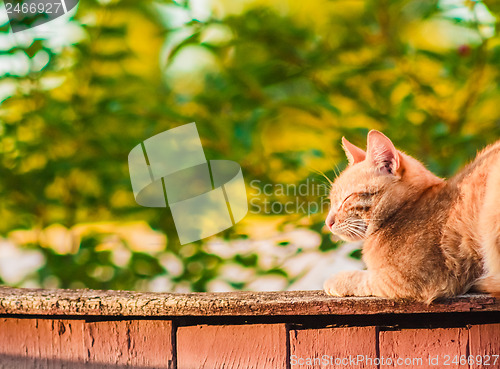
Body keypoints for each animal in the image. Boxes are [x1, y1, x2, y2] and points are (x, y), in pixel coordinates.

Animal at [324, 129, 500, 302]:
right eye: (332, 200)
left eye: (347, 198)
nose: (328, 222)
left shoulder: (405, 279)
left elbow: (362, 278)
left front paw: (335, 280)